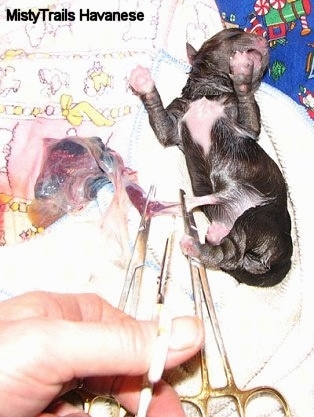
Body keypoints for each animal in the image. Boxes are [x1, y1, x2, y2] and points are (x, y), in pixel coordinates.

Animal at [129, 27, 292, 284]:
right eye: (233, 33)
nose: (264, 39)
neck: (209, 92)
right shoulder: (173, 127)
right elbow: (159, 115)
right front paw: (144, 83)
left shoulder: (248, 126)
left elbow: (246, 96)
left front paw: (242, 71)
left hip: (259, 218)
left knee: (230, 254)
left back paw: (198, 242)